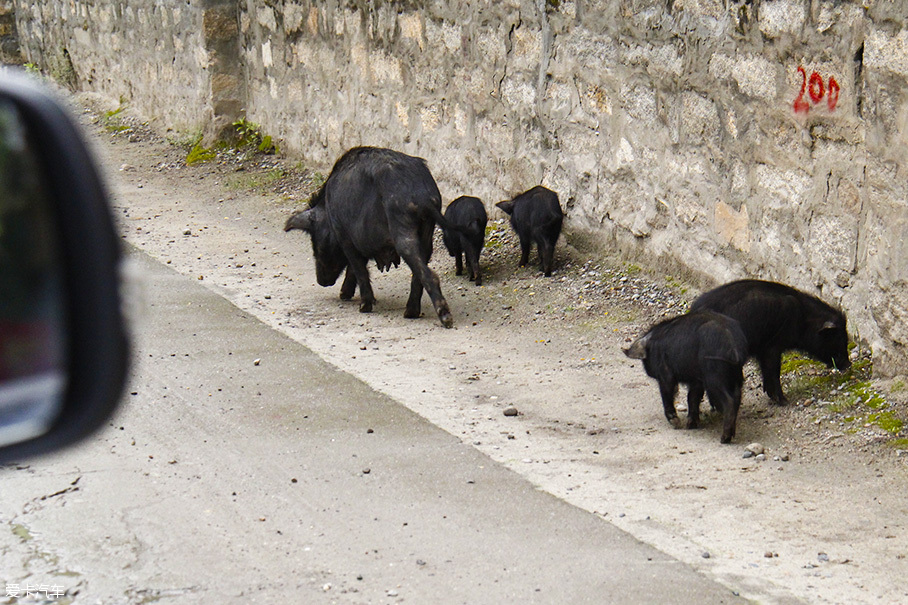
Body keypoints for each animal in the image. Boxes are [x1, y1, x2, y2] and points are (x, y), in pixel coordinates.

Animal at [284, 146, 454, 326]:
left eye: (316, 243)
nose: (321, 282)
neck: (328, 212)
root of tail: (423, 197)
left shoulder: (345, 237)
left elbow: (358, 268)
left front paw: (363, 307)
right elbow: (355, 268)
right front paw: (344, 295)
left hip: (402, 231)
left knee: (428, 274)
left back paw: (445, 319)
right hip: (426, 235)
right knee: (419, 272)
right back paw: (410, 313)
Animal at [624, 312, 744, 444]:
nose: (649, 372)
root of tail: (731, 342)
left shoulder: (665, 373)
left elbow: (667, 393)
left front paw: (676, 423)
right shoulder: (696, 380)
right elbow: (692, 397)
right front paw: (690, 425)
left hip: (714, 377)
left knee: (729, 401)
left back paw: (724, 439)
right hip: (736, 377)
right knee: (737, 397)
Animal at [692, 280, 848, 404]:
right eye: (837, 337)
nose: (848, 364)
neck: (803, 318)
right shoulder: (772, 347)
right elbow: (773, 370)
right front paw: (784, 401)